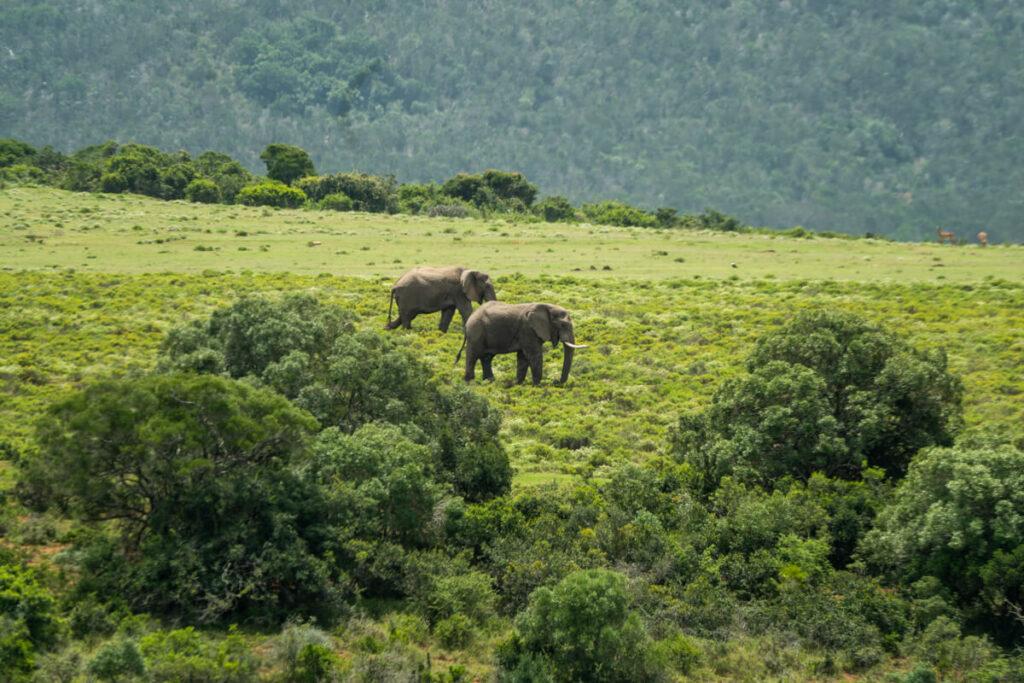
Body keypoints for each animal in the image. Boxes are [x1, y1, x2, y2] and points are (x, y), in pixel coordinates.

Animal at [457, 302, 586, 385]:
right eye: (563, 325)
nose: (556, 382)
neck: (548, 307)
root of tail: (468, 320)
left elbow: (523, 357)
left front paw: (518, 383)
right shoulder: (528, 329)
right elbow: (534, 355)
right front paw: (538, 385)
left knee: (486, 358)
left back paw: (489, 381)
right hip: (476, 332)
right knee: (473, 355)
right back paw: (469, 382)